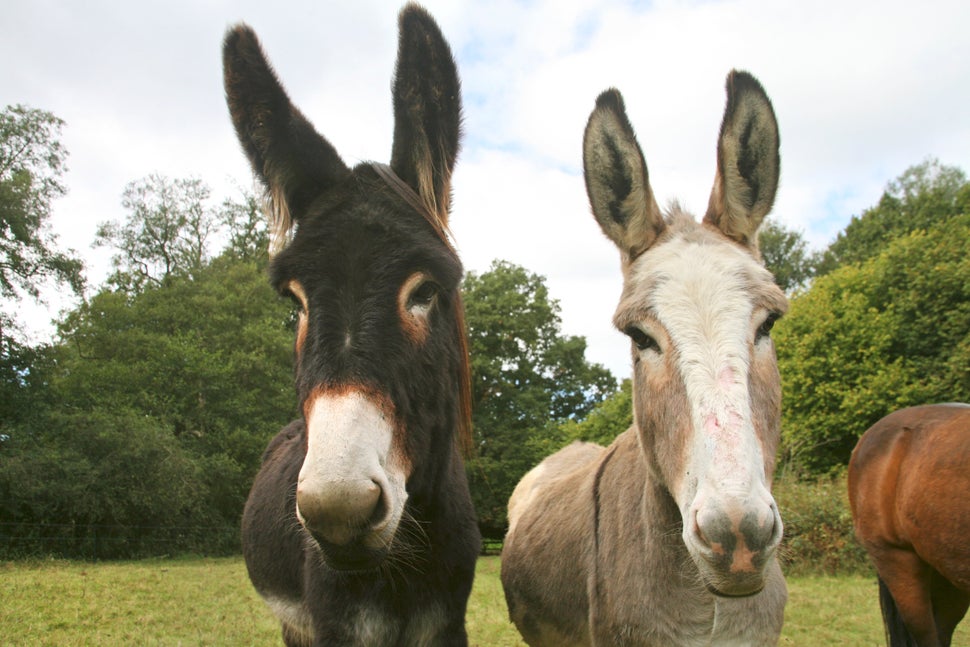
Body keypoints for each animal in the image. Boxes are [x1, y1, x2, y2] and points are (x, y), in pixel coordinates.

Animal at [219, 3, 476, 644]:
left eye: (425, 291)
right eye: (296, 303)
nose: (339, 510)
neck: (404, 566)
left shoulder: (448, 622)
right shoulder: (334, 623)